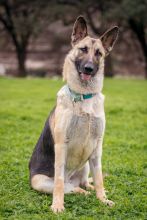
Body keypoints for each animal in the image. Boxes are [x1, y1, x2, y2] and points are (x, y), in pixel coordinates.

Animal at [29, 15, 119, 213]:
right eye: (83, 50)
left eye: (99, 53)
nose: (89, 68)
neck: (84, 96)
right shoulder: (61, 145)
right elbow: (59, 182)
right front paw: (57, 205)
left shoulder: (97, 147)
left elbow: (99, 179)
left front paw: (102, 199)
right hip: (39, 181)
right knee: (69, 187)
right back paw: (80, 192)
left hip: (86, 164)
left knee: (85, 183)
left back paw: (91, 190)